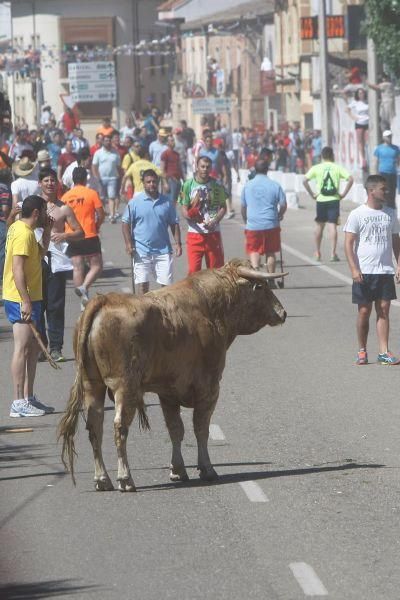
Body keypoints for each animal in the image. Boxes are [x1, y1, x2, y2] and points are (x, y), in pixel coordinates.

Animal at [58, 258, 284, 492]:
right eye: (261, 287)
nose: (282, 312)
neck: (210, 308)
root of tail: (103, 301)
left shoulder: (168, 393)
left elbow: (175, 429)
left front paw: (178, 469)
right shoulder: (209, 388)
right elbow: (201, 428)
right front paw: (207, 468)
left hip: (92, 384)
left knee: (95, 425)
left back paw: (102, 478)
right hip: (124, 386)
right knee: (119, 427)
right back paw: (125, 478)